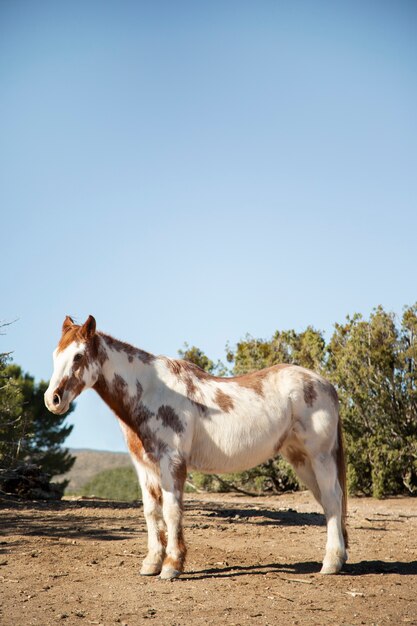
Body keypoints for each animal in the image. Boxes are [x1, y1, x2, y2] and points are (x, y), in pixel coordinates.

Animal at [44, 314, 348, 576]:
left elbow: (172, 511)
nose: (53, 400)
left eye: (78, 355)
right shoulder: (144, 466)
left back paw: (331, 563)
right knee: (328, 502)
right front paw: (151, 563)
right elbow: (151, 512)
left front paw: (172, 565)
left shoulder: (172, 461)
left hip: (320, 456)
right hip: (301, 460)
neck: (152, 392)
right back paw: (340, 557)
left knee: (333, 498)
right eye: (55, 355)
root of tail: (327, 385)